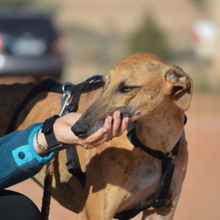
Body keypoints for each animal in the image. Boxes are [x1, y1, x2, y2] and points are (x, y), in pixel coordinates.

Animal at [0, 53, 192, 220]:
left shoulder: (162, 210)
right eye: (104, 84)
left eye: (127, 88)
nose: (77, 128)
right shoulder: (92, 213)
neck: (154, 145)